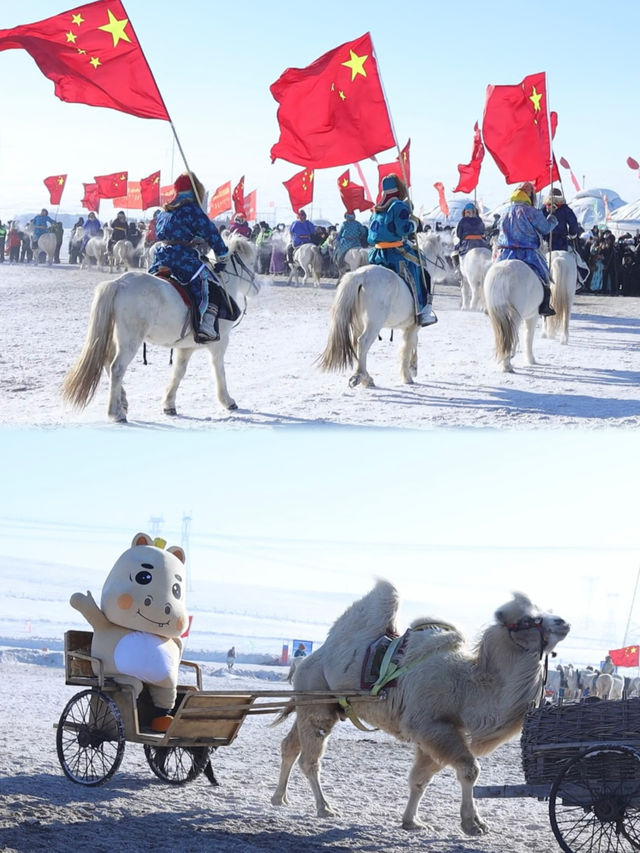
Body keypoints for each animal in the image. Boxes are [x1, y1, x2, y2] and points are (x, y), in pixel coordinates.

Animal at [62, 235, 262, 422]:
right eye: (251, 263)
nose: (258, 286)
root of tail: (119, 284)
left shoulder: (185, 347)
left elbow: (178, 373)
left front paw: (169, 404)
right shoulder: (219, 344)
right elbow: (219, 370)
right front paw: (227, 401)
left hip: (115, 337)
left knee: (106, 362)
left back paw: (123, 402)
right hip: (130, 340)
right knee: (117, 368)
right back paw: (115, 413)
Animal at [318, 233, 442, 386]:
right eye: (441, 248)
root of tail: (361, 275)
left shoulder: (408, 326)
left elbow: (413, 342)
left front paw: (413, 367)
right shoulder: (414, 325)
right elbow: (407, 346)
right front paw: (408, 375)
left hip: (358, 322)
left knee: (356, 344)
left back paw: (366, 377)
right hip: (373, 324)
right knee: (363, 342)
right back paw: (360, 377)